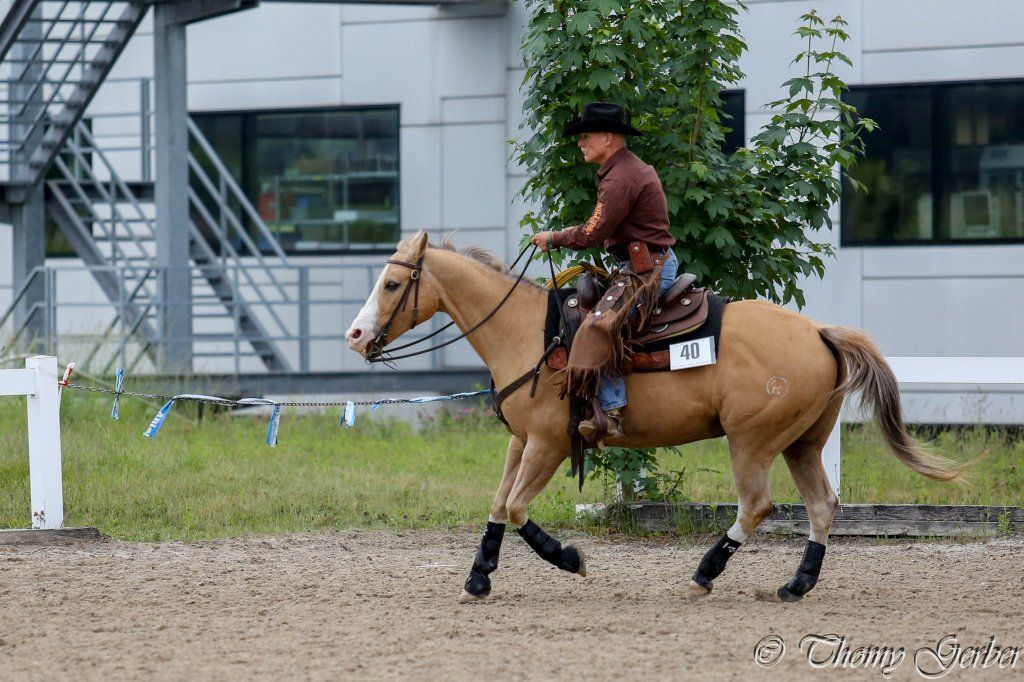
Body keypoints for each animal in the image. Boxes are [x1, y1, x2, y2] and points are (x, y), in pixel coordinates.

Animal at [345, 231, 961, 604]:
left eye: (393, 283)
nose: (354, 335)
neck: (529, 332)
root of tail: (819, 332)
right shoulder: (521, 441)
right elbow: (498, 505)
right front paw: (478, 577)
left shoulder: (548, 443)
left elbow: (518, 507)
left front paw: (569, 558)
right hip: (802, 443)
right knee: (821, 505)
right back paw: (796, 584)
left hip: (753, 441)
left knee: (758, 506)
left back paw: (704, 576)